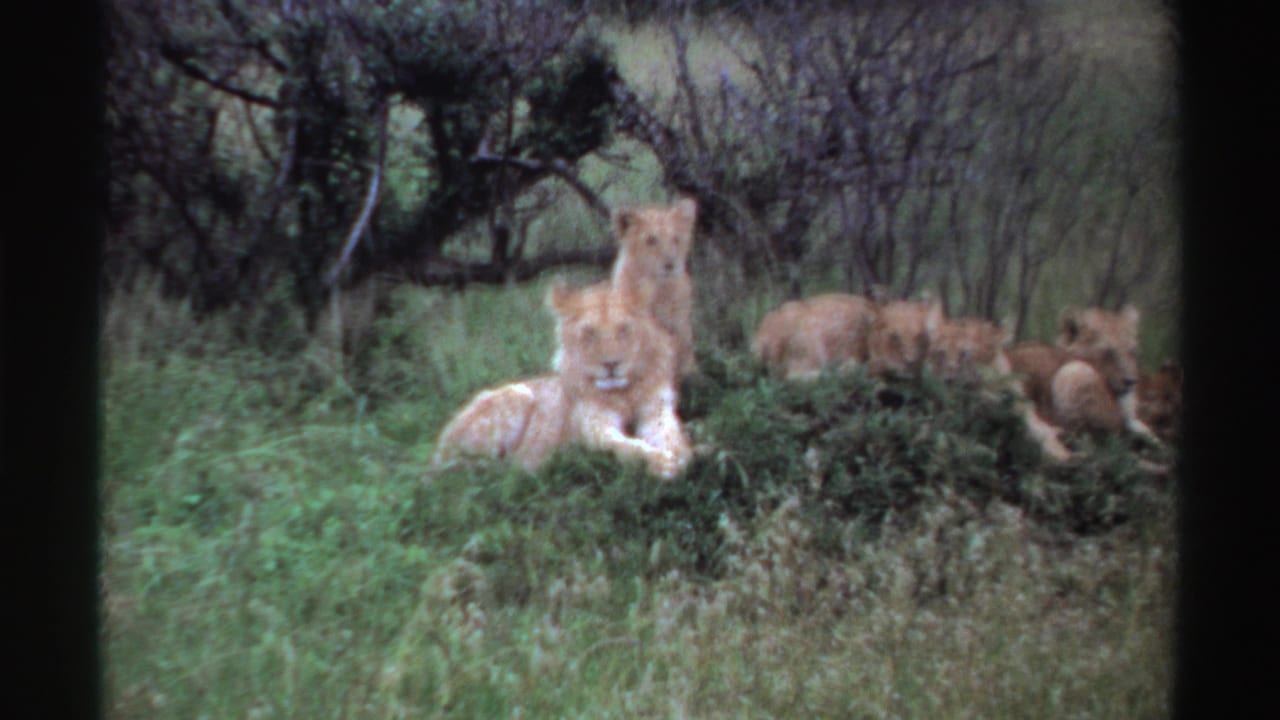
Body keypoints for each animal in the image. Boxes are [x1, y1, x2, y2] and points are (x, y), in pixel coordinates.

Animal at [432, 282, 692, 480]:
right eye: (589, 333)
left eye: (624, 329)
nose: (611, 364)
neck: (623, 393)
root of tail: (438, 449)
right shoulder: (593, 425)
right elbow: (624, 446)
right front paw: (659, 462)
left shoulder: (656, 411)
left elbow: (671, 436)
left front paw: (683, 454)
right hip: (518, 395)